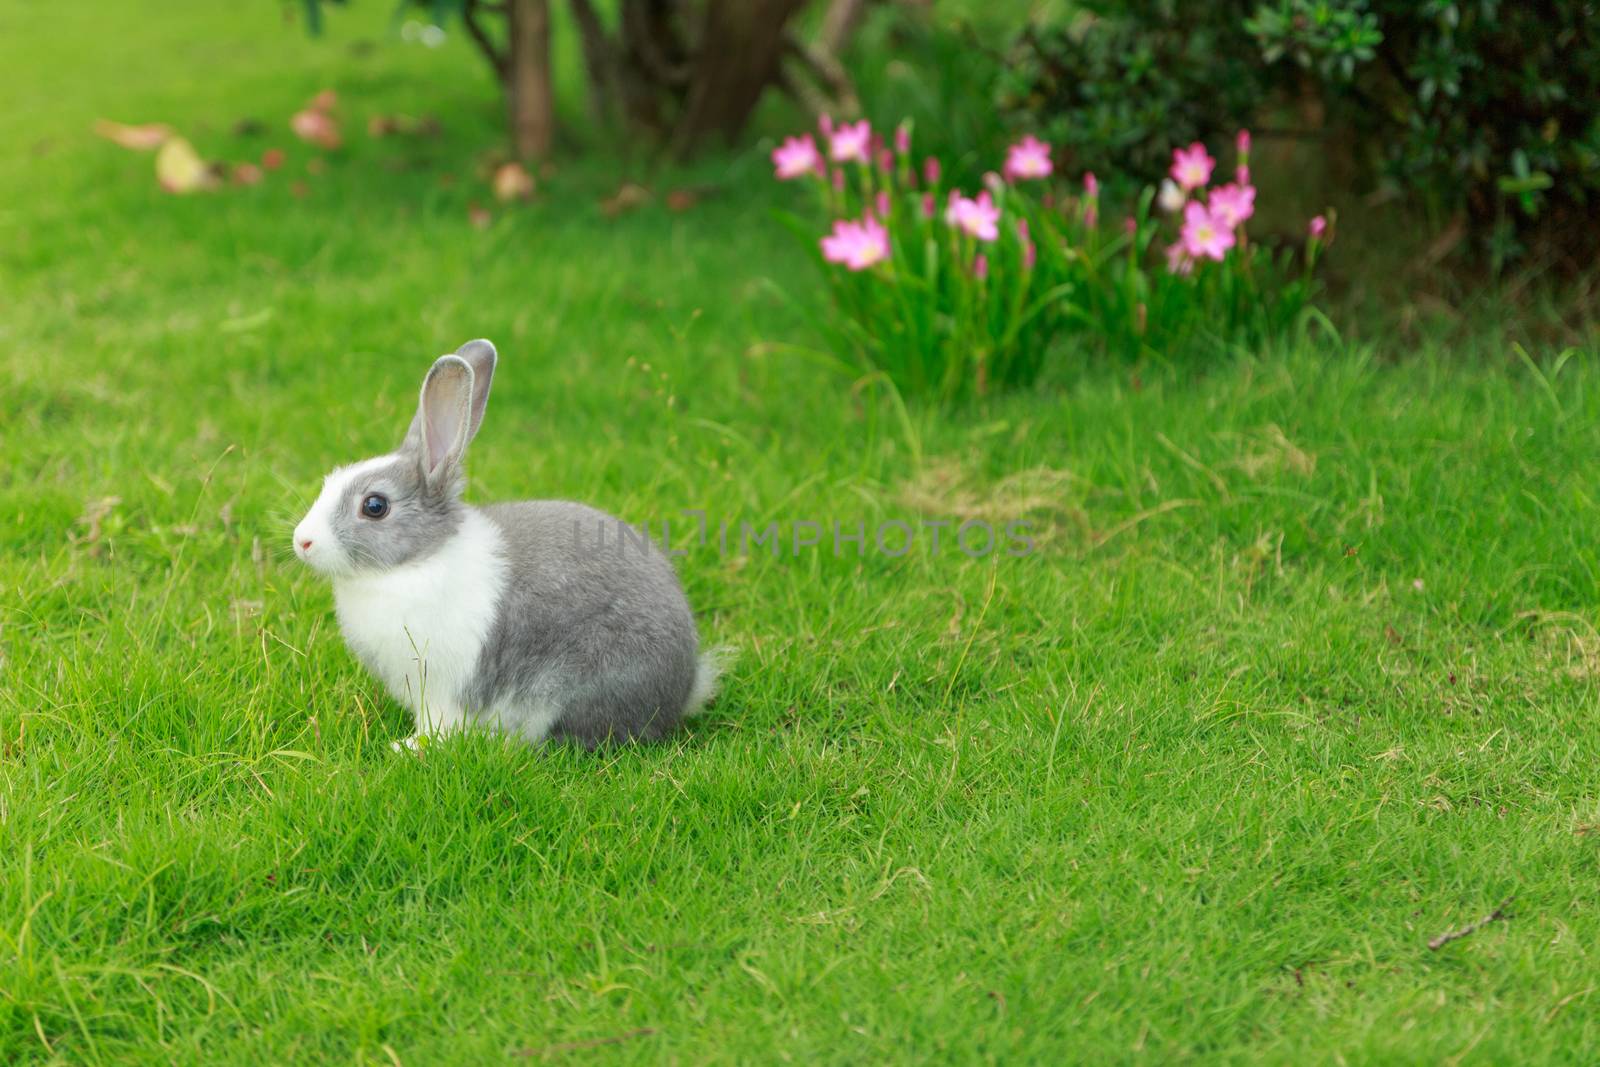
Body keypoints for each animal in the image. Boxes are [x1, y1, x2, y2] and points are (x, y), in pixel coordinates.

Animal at [291, 342, 723, 751]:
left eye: (375, 506)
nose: (302, 541)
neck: (417, 560)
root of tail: (685, 686)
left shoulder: (443, 688)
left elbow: (439, 724)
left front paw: (408, 748)